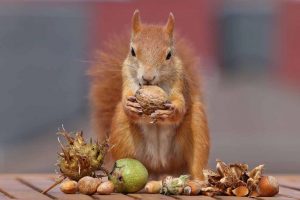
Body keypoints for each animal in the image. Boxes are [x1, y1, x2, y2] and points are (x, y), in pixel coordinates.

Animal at [88, 10, 209, 180]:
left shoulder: (180, 84)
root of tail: (159, 169)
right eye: (132, 51)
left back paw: (198, 180)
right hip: (122, 135)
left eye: (169, 54)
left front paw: (171, 110)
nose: (147, 77)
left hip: (196, 131)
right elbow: (126, 98)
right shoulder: (126, 78)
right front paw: (129, 105)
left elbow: (180, 105)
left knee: (196, 161)